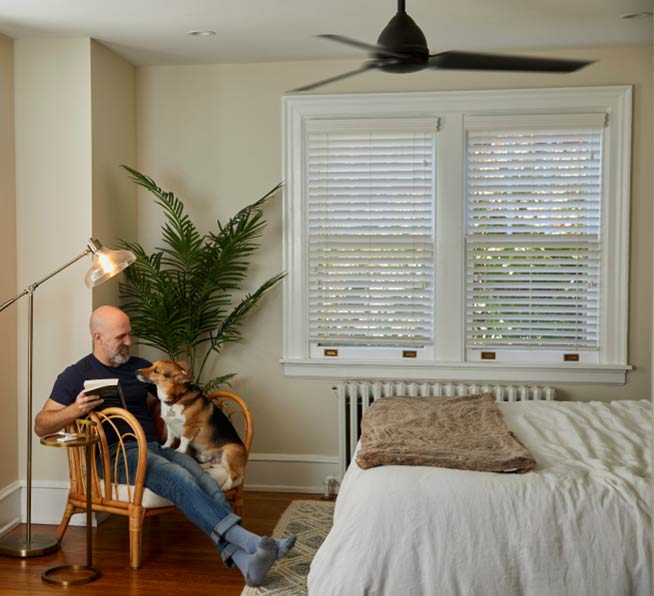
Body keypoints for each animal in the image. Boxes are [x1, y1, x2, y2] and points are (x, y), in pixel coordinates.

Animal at [138, 358, 249, 488]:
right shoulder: (169, 426)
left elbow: (184, 439)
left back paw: (225, 486)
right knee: (217, 466)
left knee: (234, 475)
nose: (136, 371)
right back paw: (202, 466)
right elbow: (170, 439)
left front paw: (179, 450)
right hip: (209, 458)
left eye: (156, 371)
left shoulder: (191, 426)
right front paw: (165, 446)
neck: (176, 400)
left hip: (229, 452)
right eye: (151, 365)